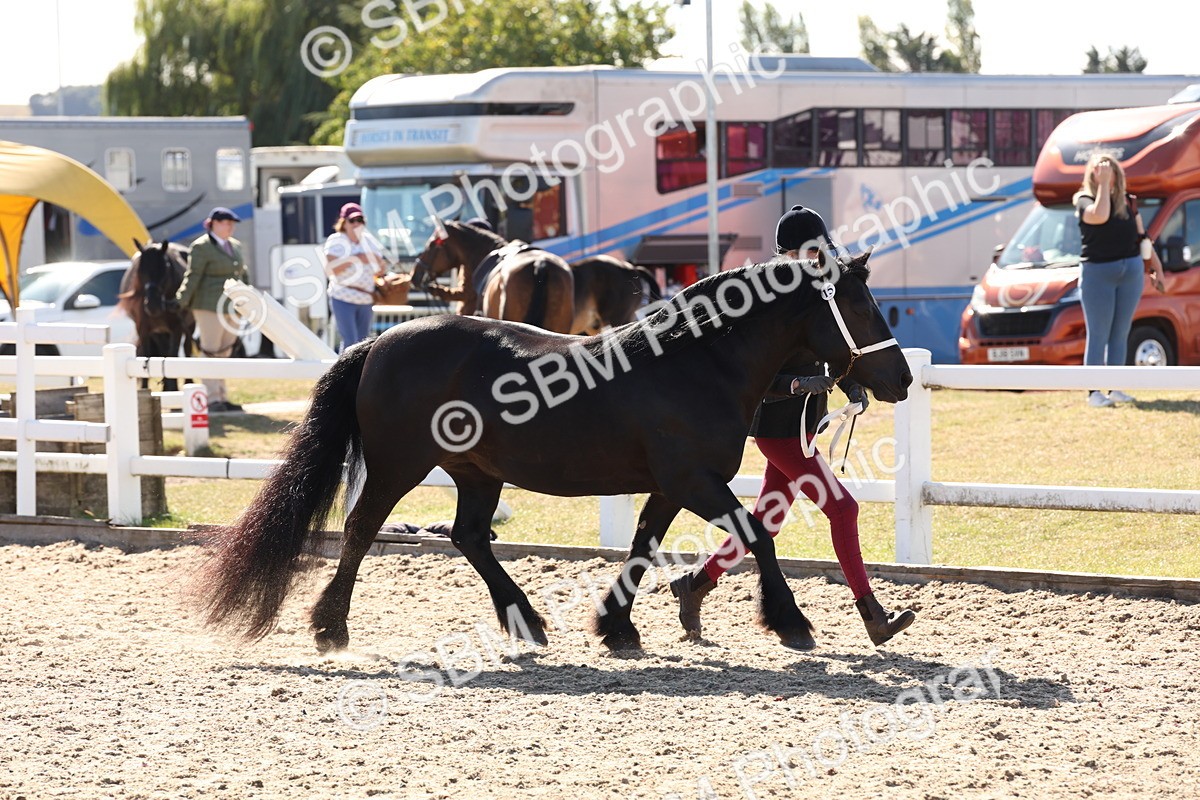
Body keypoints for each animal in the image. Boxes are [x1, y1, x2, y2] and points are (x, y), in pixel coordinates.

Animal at [118, 239, 195, 391]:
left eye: (164, 269)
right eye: (140, 270)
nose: (152, 305)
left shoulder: (177, 326)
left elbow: (173, 354)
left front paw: (172, 389)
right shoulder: (143, 328)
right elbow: (147, 355)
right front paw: (144, 389)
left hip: (189, 325)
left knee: (186, 349)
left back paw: (187, 382)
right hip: (159, 332)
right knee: (164, 350)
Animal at [193, 252, 912, 654]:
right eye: (860, 305)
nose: (901, 379)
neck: (695, 360)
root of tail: (380, 343)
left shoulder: (669, 485)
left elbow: (644, 545)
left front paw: (617, 627)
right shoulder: (694, 479)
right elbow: (756, 536)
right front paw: (790, 622)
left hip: (476, 472)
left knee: (469, 536)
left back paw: (526, 621)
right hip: (402, 465)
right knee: (362, 528)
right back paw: (330, 628)